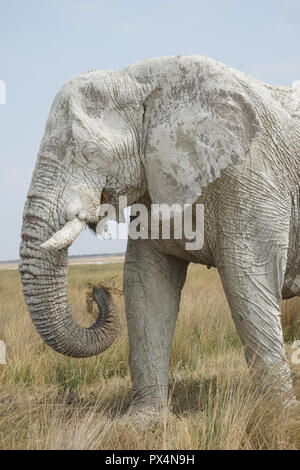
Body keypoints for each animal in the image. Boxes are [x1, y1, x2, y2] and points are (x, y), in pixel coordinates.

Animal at [19, 53, 300, 410]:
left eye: (89, 152)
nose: (97, 292)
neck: (141, 81)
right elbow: (146, 281)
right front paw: (146, 417)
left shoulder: (252, 176)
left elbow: (249, 281)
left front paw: (280, 414)